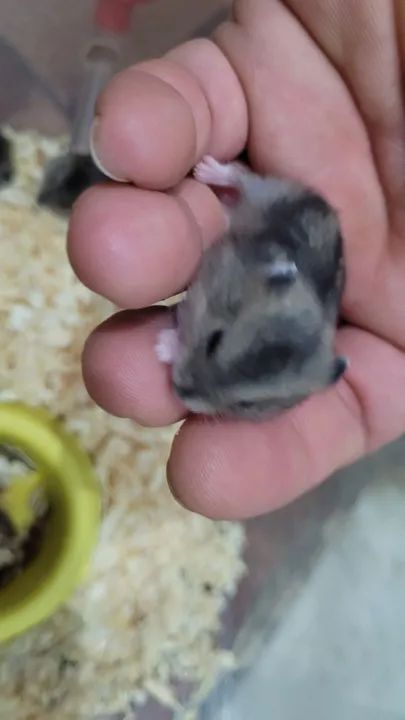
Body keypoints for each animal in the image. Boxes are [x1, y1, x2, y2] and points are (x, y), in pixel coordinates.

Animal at [156, 155, 347, 420]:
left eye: (245, 404)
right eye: (214, 341)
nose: (179, 391)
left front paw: (160, 347)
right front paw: (160, 346)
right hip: (268, 189)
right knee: (241, 176)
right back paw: (206, 170)